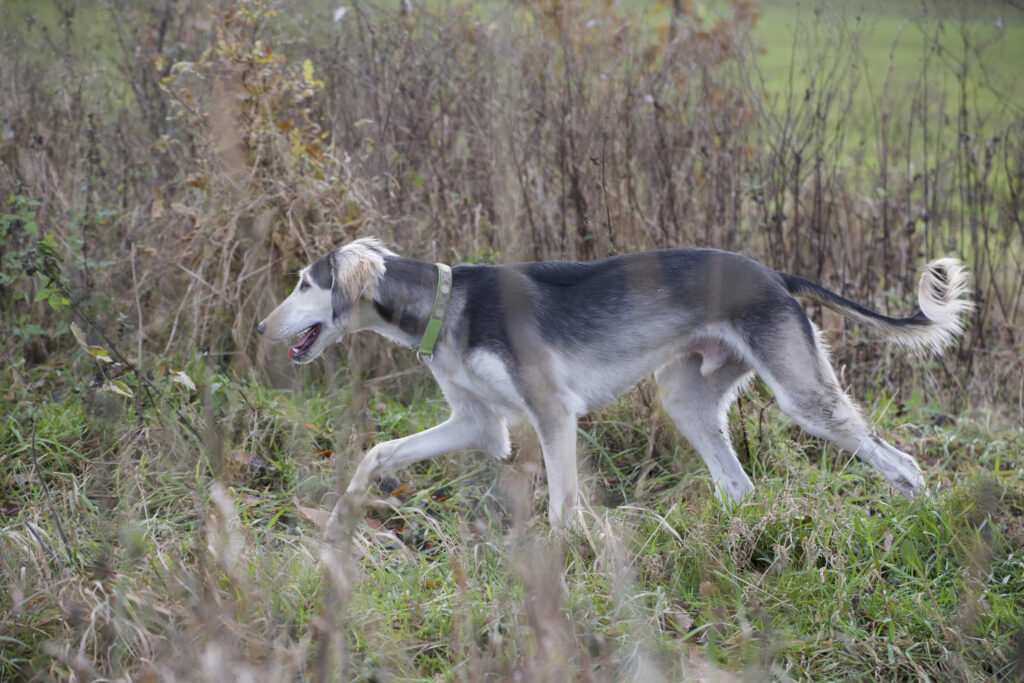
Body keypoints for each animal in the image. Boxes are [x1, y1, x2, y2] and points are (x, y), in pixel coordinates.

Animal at [256, 237, 966, 528]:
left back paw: (930, 525)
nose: (262, 328)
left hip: (805, 398)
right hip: (686, 400)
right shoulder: (479, 425)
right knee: (739, 486)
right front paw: (342, 515)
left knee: (903, 463)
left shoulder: (552, 413)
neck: (447, 304)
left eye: (306, 284)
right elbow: (378, 453)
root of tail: (775, 274)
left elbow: (562, 506)